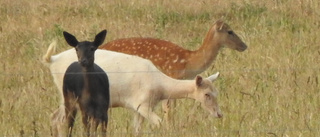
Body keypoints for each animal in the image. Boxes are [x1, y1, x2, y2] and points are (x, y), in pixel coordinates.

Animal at [43, 41, 222, 136]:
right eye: (207, 94)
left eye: (216, 92)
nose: (219, 114)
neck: (160, 85)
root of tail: (52, 59)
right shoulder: (143, 105)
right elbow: (159, 123)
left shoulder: (137, 108)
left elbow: (137, 130)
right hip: (69, 95)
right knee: (60, 120)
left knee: (54, 117)